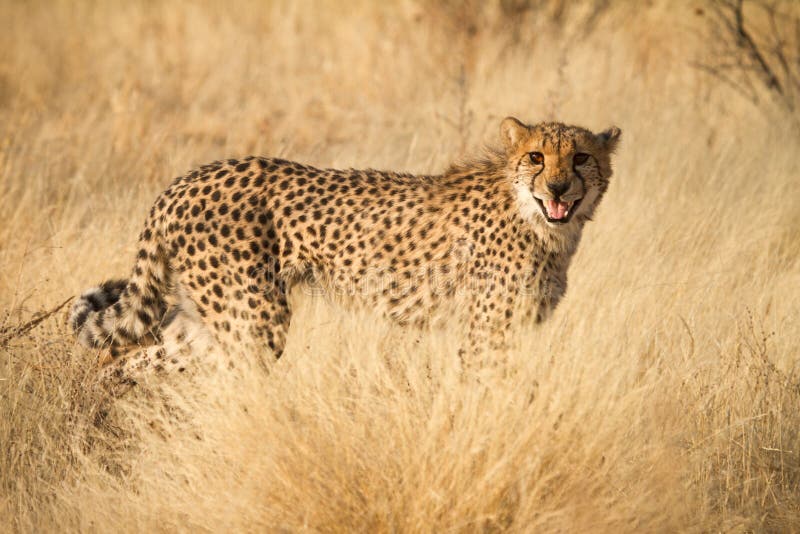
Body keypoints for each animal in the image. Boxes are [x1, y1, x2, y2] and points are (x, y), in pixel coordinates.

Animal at [69, 118, 620, 382]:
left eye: (581, 158)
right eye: (537, 157)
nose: (558, 187)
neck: (542, 224)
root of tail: (185, 178)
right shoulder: (487, 332)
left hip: (207, 318)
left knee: (134, 361)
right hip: (253, 319)